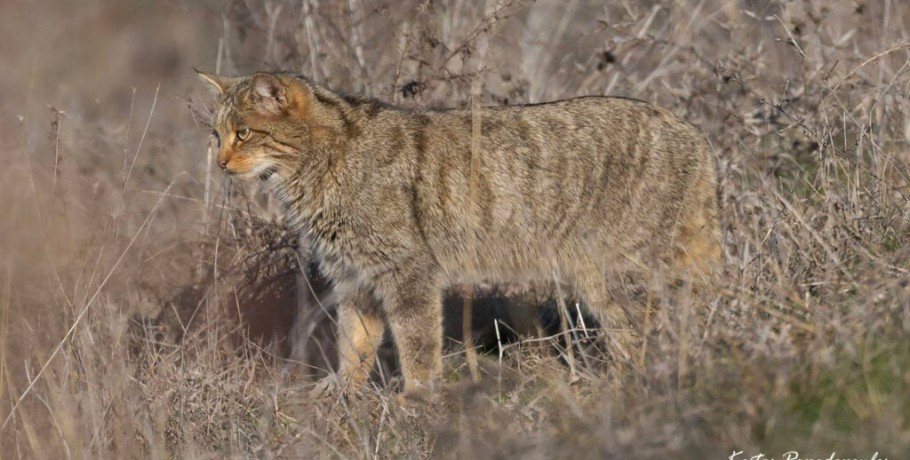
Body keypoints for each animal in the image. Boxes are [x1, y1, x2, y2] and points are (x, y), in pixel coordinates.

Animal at [198, 70, 720, 398]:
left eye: (244, 133)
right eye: (216, 134)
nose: (219, 163)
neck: (320, 167)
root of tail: (696, 135)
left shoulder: (407, 271)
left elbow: (416, 340)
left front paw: (416, 396)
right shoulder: (354, 277)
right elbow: (355, 341)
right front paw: (343, 390)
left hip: (614, 274)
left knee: (649, 331)